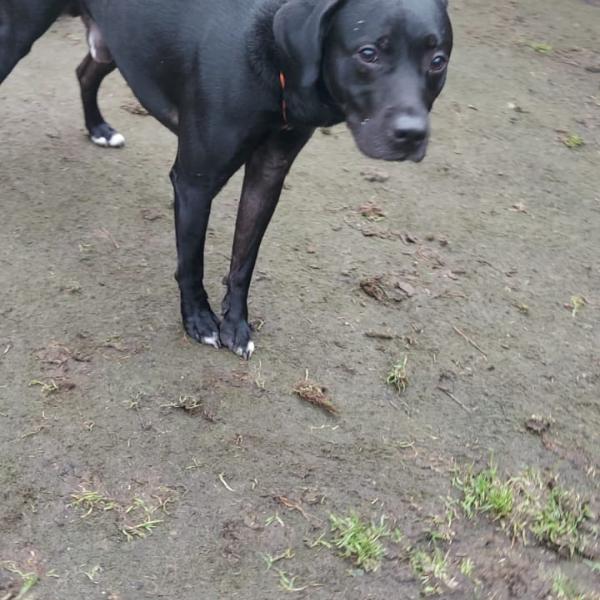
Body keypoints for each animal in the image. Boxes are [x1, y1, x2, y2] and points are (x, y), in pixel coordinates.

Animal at [0, 0, 452, 356]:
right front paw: (199, 320)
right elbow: (191, 260)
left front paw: (236, 324)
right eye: (368, 53)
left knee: (85, 72)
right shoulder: (194, 182)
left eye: (438, 61)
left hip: (113, 45)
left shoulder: (268, 175)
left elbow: (243, 259)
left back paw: (98, 128)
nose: (412, 135)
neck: (275, 59)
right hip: (17, 33)